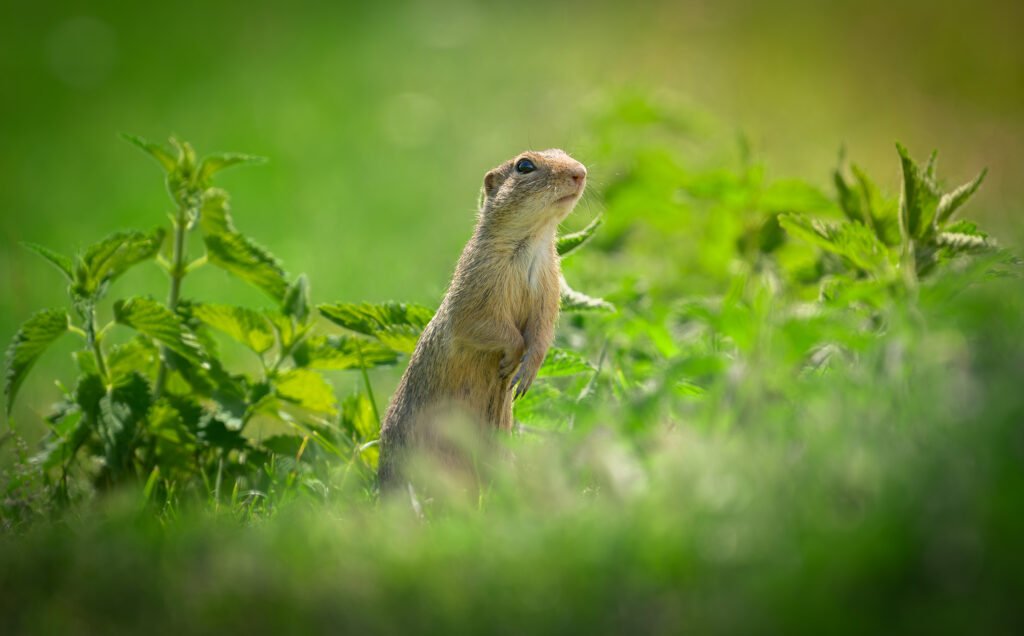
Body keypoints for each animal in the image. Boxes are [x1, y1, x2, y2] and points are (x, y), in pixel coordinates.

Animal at [376, 147, 589, 485]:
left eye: (563, 152)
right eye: (524, 166)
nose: (580, 172)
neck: (532, 242)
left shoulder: (549, 289)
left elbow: (542, 332)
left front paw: (526, 373)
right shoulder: (477, 286)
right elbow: (480, 324)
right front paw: (511, 361)